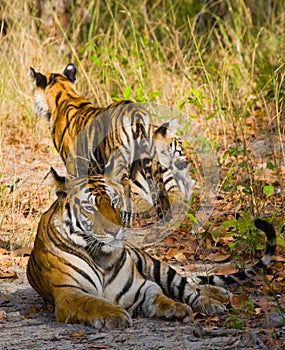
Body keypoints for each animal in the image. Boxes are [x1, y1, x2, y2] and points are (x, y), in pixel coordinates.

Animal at [26, 168, 276, 330]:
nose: (115, 231)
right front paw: (115, 314)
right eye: (90, 207)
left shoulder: (141, 285)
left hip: (155, 265)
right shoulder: (68, 293)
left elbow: (160, 295)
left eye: (114, 202)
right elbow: (94, 302)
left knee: (187, 286)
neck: (101, 258)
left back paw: (214, 301)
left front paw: (177, 308)